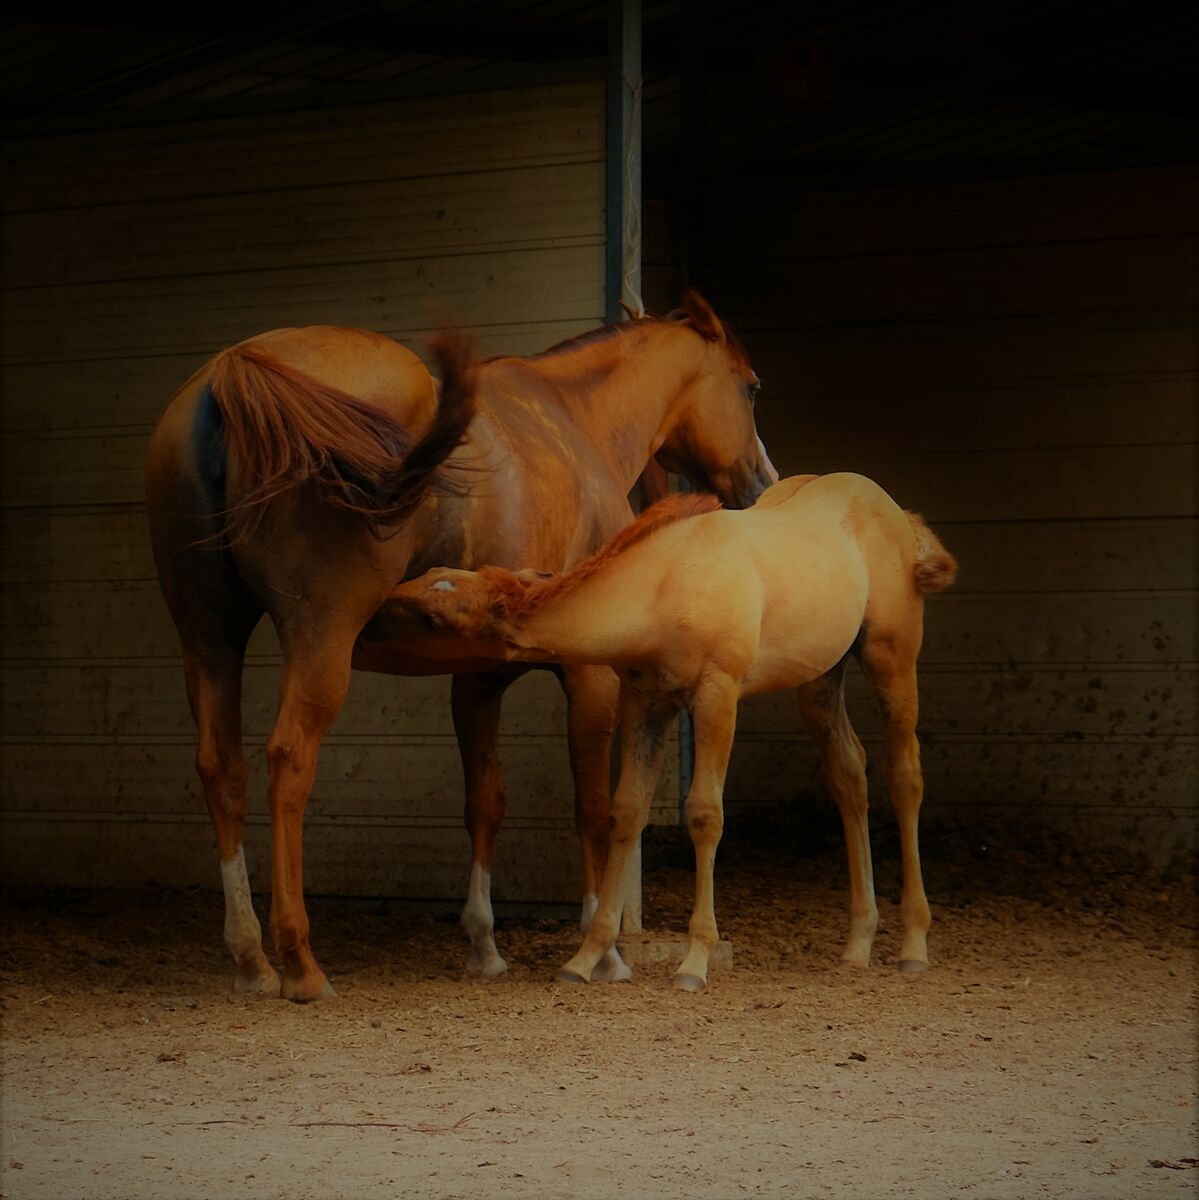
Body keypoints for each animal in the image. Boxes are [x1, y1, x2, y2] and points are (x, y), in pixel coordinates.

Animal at [145, 293, 776, 1001]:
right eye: (751, 387)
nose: (764, 483)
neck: (576, 419)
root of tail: (234, 373)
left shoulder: (477, 680)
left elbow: (485, 803)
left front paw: (484, 944)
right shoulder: (590, 676)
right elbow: (593, 806)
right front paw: (602, 948)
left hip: (209, 636)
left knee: (222, 769)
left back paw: (251, 958)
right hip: (319, 640)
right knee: (289, 760)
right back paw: (300, 963)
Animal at [381, 473, 959, 992]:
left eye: (436, 616)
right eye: (434, 574)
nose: (381, 605)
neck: (665, 588)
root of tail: (899, 515)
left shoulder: (717, 695)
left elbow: (704, 814)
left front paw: (694, 962)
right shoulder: (645, 702)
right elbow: (625, 813)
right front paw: (586, 957)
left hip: (890, 656)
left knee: (905, 775)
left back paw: (913, 946)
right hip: (819, 678)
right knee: (849, 773)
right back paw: (858, 944)